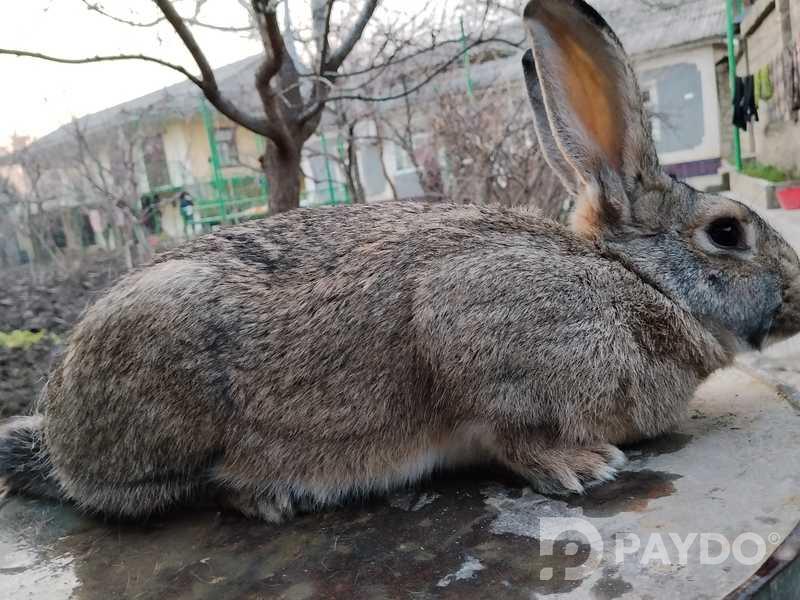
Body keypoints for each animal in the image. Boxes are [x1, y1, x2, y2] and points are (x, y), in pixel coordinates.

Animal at [2, 0, 800, 523]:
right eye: (727, 232)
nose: (796, 296)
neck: (639, 284)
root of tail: (59, 434)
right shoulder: (475, 329)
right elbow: (511, 429)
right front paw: (582, 465)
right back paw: (270, 493)